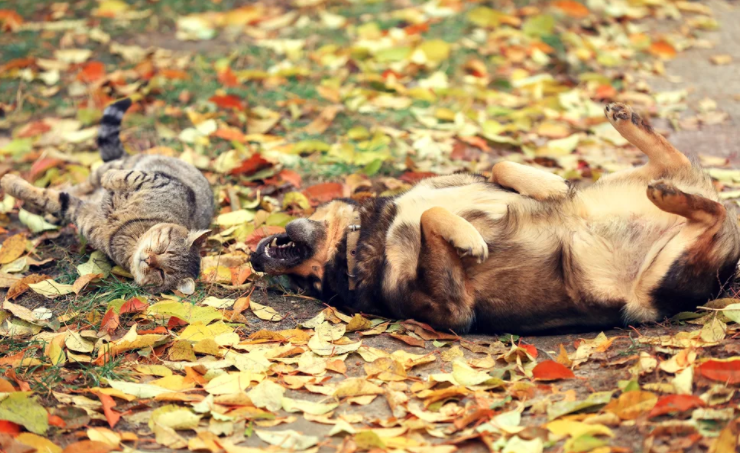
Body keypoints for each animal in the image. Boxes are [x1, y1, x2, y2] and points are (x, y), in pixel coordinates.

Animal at [2, 99, 217, 294]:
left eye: (162, 273)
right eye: (164, 249)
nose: (149, 260)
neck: (130, 231)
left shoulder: (80, 213)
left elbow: (50, 198)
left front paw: (11, 184)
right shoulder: (159, 181)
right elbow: (127, 176)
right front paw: (10, 181)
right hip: (119, 166)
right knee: (89, 181)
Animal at [250, 104, 740, 334]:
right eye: (308, 286)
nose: (254, 257)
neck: (365, 235)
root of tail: (728, 268)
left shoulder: (455, 181)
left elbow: (498, 167)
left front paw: (547, 185)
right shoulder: (450, 309)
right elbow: (432, 216)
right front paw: (467, 238)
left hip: (611, 185)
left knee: (676, 169)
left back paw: (628, 124)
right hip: (658, 283)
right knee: (712, 211)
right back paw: (670, 193)